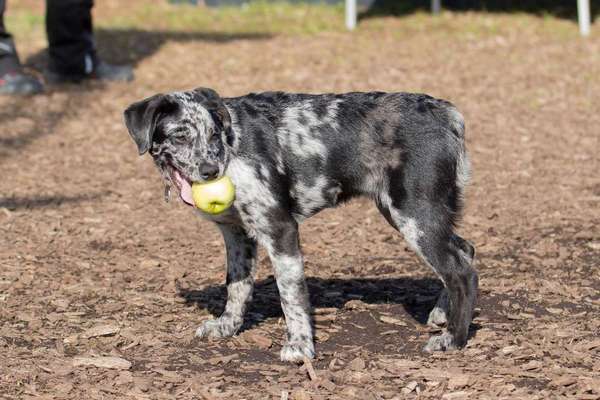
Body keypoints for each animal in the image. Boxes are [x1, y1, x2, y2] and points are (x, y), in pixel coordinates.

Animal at [123, 87, 478, 362]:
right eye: (180, 136)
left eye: (212, 135)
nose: (211, 171)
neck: (232, 147)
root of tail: (446, 112)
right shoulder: (237, 236)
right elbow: (237, 287)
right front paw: (227, 327)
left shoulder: (280, 229)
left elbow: (290, 296)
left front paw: (299, 346)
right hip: (411, 213)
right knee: (464, 251)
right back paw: (442, 315)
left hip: (415, 216)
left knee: (461, 273)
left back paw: (453, 339)